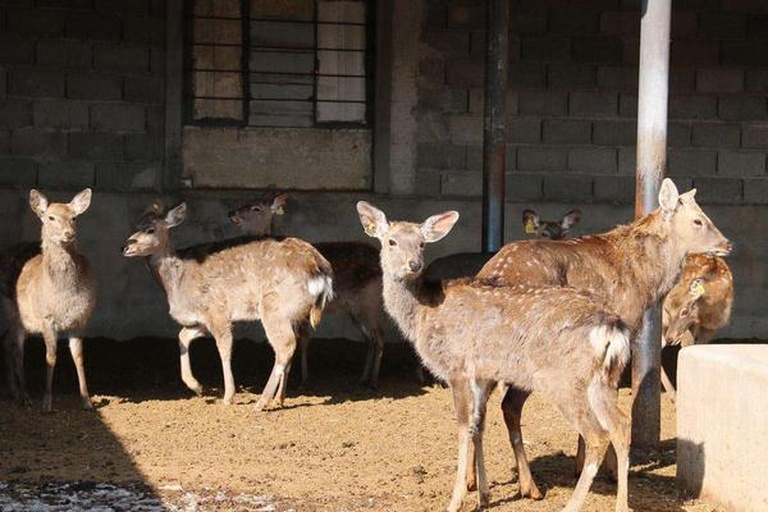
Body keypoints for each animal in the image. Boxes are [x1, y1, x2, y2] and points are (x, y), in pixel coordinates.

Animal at [1, 188, 95, 412]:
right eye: (51, 217)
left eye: (74, 217)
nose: (69, 234)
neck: (64, 295)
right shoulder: (46, 318)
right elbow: (50, 357)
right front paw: (46, 403)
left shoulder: (81, 319)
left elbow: (79, 356)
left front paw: (87, 401)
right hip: (14, 313)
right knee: (17, 350)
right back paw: (25, 396)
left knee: (6, 339)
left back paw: (14, 391)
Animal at [121, 202, 334, 410]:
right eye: (134, 225)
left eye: (150, 229)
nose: (125, 246)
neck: (177, 283)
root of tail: (320, 269)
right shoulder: (201, 319)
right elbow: (182, 337)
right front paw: (198, 387)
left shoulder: (216, 310)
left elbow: (224, 348)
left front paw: (228, 396)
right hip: (294, 311)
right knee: (295, 342)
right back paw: (278, 399)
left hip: (275, 306)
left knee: (285, 346)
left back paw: (261, 402)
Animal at [228, 191, 386, 388]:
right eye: (244, 201)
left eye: (256, 208)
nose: (231, 213)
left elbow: (301, 340)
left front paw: (302, 380)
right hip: (355, 310)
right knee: (369, 339)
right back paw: (362, 378)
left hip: (369, 302)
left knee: (379, 337)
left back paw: (374, 381)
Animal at [356, 201, 632, 512]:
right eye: (391, 241)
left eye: (422, 243)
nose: (413, 264)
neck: (423, 315)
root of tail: (613, 329)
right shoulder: (481, 374)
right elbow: (478, 425)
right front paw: (484, 495)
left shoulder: (457, 367)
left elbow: (463, 427)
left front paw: (456, 500)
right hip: (604, 379)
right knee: (622, 424)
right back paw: (622, 505)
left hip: (564, 380)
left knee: (598, 434)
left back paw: (571, 506)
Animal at [660, 253, 733, 401]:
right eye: (667, 310)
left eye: (684, 311)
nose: (671, 338)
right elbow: (687, 346)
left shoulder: (711, 327)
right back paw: (674, 394)